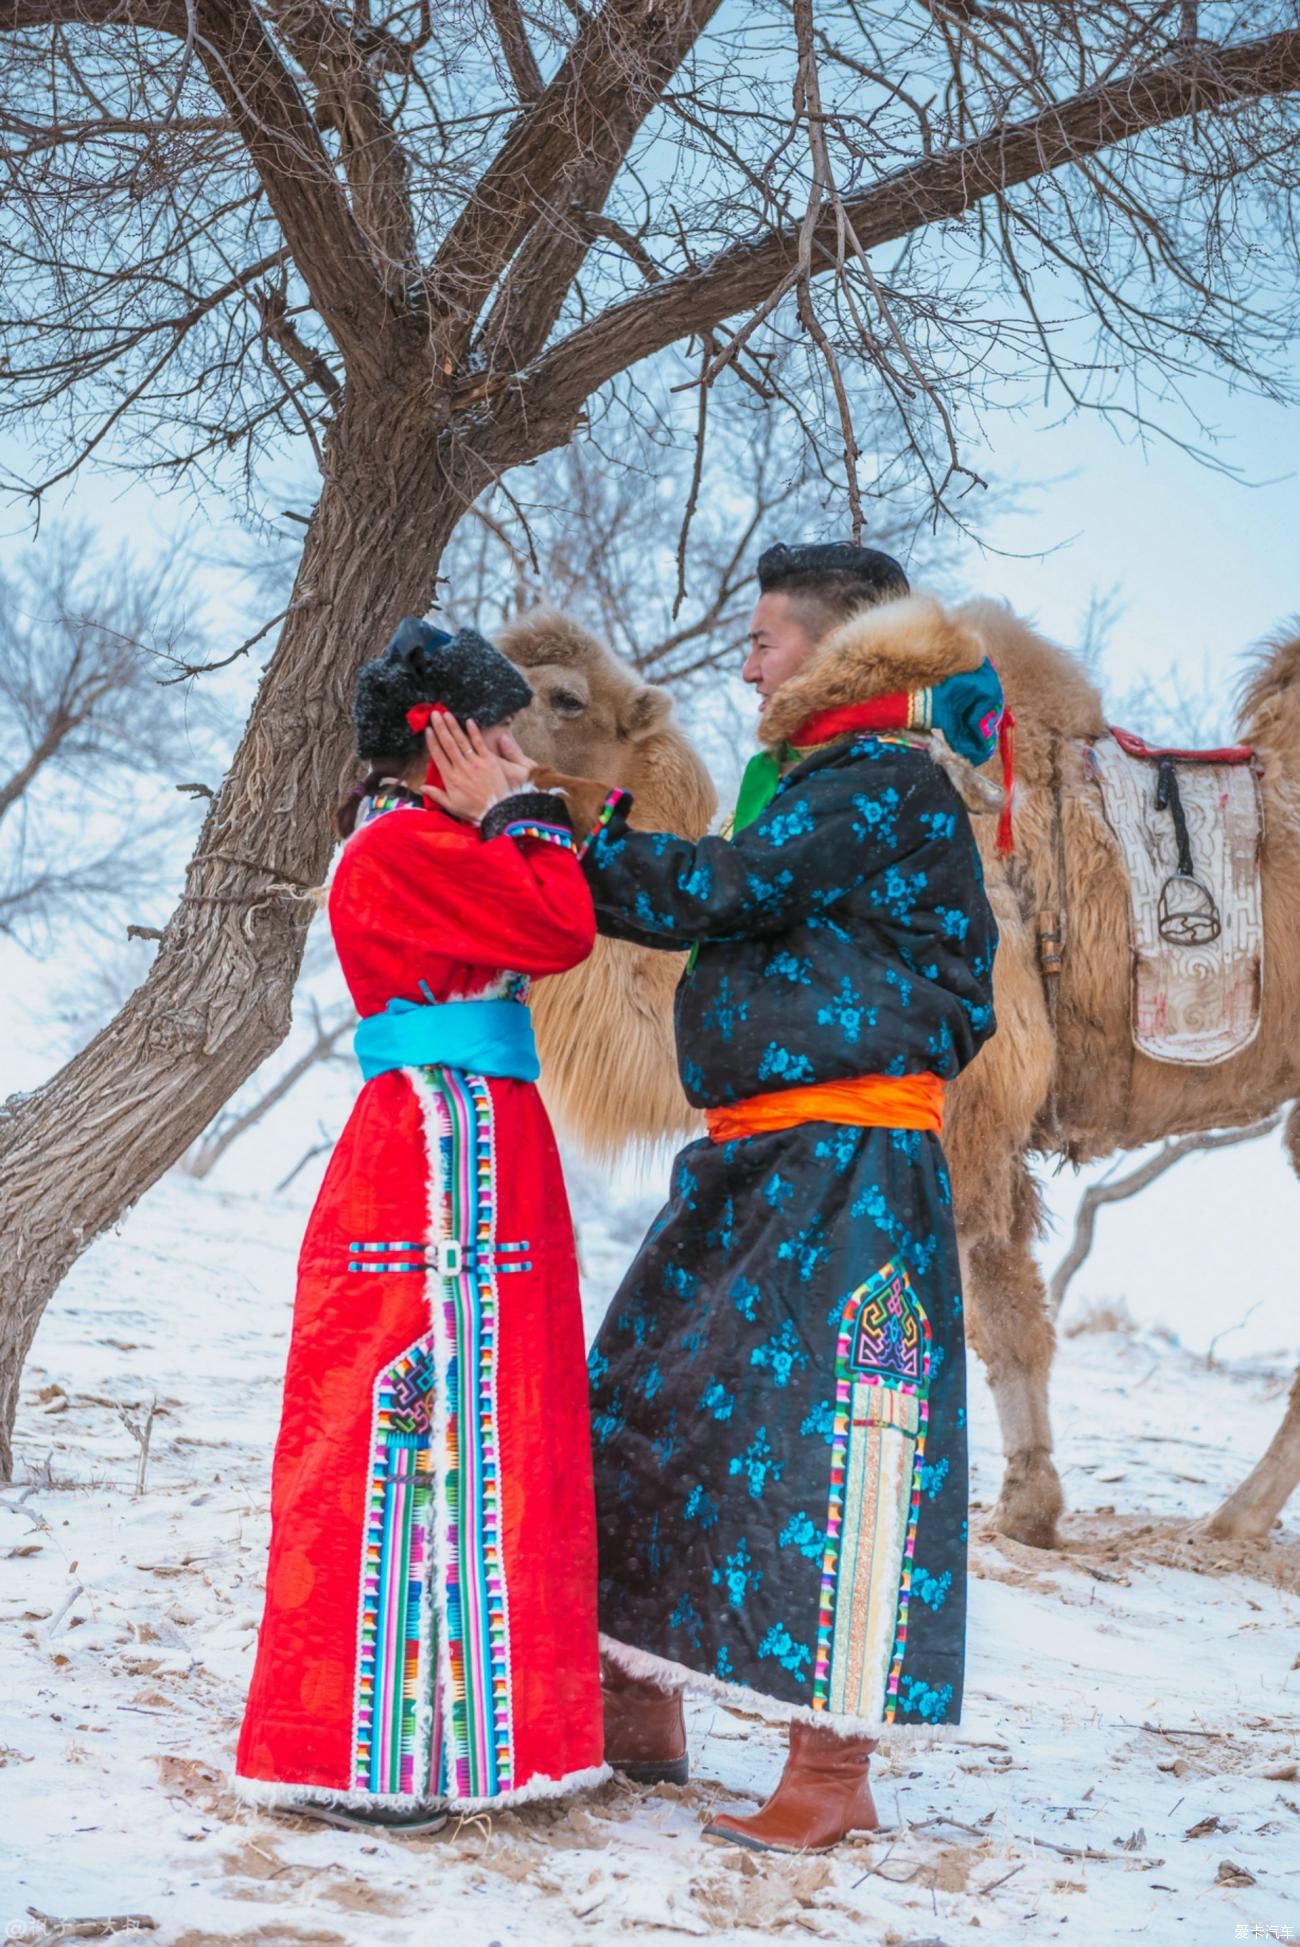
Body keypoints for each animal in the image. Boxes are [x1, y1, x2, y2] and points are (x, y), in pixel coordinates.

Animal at [502, 599, 1300, 1542]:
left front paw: (1015, 1506)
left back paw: (1235, 1521)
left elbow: (997, 1305)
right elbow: (1004, 1306)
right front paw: (1028, 1506)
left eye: (565, 696)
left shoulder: (977, 1108)